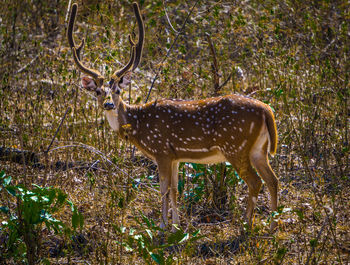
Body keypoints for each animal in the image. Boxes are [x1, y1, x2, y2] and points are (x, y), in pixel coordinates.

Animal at [67, 3, 278, 232]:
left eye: (117, 91)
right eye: (98, 92)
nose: (108, 104)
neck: (138, 125)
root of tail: (266, 110)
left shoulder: (161, 151)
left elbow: (164, 189)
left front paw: (162, 225)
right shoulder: (175, 155)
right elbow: (176, 190)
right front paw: (176, 225)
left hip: (236, 146)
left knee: (255, 182)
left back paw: (247, 224)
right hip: (259, 149)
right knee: (273, 180)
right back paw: (272, 224)